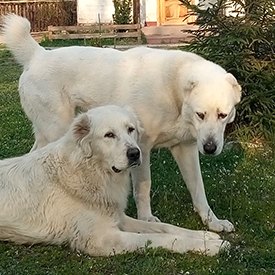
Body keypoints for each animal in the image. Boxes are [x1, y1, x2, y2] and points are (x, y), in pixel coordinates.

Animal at [0, 105, 230, 256]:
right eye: (109, 135)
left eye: (131, 129)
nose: (135, 153)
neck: (93, 172)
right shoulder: (102, 239)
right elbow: (159, 238)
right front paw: (210, 247)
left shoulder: (118, 218)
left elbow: (166, 227)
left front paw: (205, 235)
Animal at [2, 14, 244, 233]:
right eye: (200, 114)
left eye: (223, 115)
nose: (210, 148)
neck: (173, 89)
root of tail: (38, 55)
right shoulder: (142, 148)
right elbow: (144, 187)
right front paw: (147, 219)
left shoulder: (186, 148)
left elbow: (198, 189)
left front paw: (212, 222)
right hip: (57, 130)